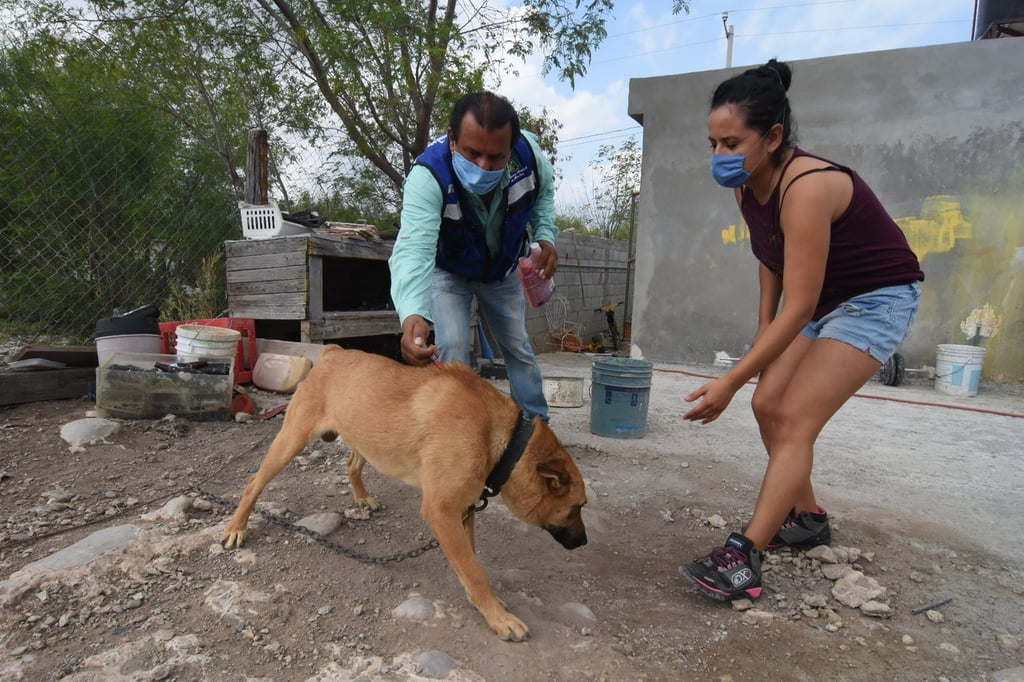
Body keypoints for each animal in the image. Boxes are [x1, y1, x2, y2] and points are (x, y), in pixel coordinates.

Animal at [220, 346, 589, 638]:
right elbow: (474, 570)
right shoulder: (442, 511)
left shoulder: (462, 509)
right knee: (254, 483)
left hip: (365, 438)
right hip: (291, 441)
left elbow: (471, 563)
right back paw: (236, 527)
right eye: (577, 507)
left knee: (351, 464)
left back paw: (362, 497)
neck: (507, 440)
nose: (585, 542)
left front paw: (484, 604)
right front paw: (499, 618)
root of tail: (333, 352)